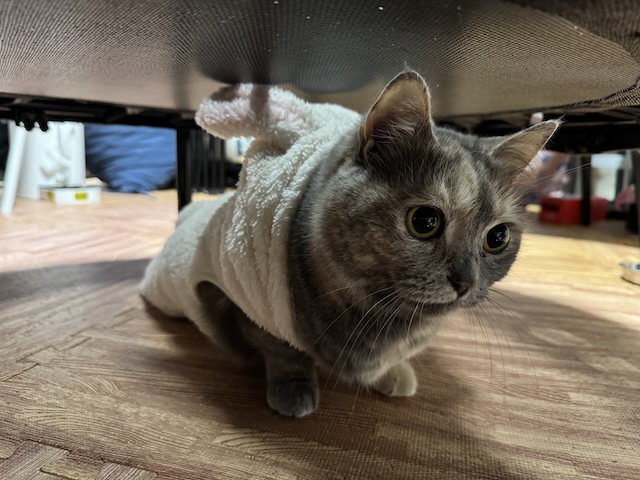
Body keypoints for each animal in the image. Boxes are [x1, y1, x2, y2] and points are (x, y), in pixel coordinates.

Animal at [152, 71, 558, 417]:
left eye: (498, 237)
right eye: (425, 221)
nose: (465, 282)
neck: (383, 316)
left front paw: (395, 373)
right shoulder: (251, 301)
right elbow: (282, 351)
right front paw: (294, 391)